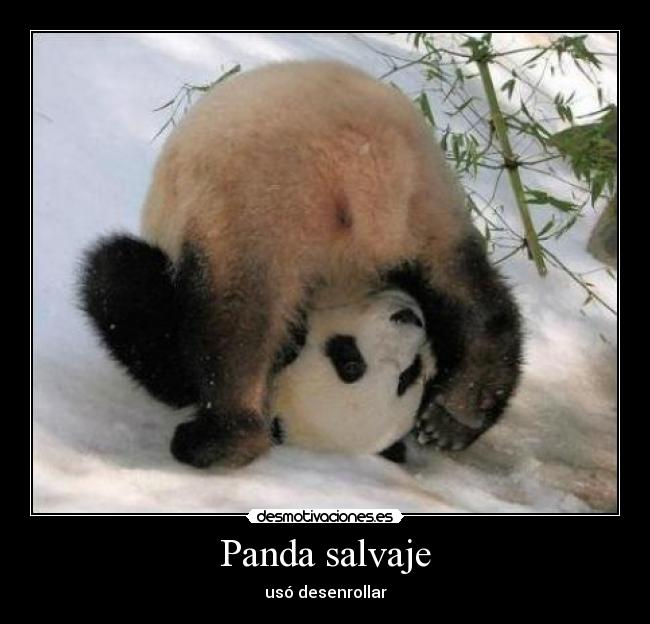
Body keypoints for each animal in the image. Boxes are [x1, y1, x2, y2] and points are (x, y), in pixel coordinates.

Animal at [79, 60, 523, 469]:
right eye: (351, 362)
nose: (405, 320)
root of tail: (365, 165)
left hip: (252, 209)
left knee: (230, 316)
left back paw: (225, 438)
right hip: (429, 202)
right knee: (468, 293)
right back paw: (461, 410)